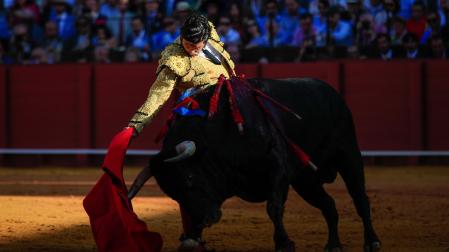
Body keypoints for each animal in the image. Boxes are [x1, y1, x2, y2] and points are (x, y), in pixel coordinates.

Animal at [150, 78, 378, 251]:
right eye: (173, 193)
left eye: (189, 177)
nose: (204, 220)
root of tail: (332, 92)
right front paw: (191, 238)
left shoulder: (278, 170)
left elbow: (274, 207)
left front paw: (284, 243)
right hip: (306, 181)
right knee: (329, 205)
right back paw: (333, 245)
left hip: (348, 155)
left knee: (360, 199)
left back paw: (372, 241)